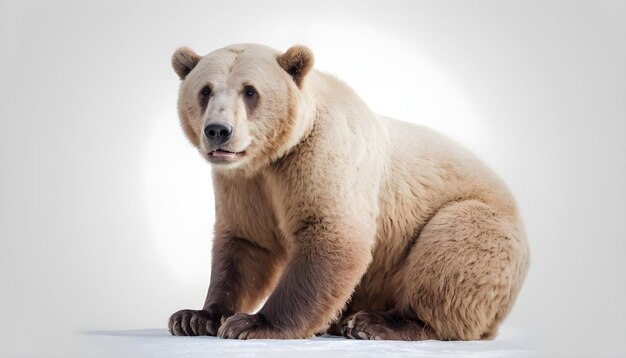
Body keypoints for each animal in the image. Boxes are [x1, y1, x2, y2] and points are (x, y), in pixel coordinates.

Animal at [165, 43, 528, 340]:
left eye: (250, 91)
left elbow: (333, 232)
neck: (275, 154)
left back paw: (377, 323)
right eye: (205, 90)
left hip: (483, 227)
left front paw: (253, 323)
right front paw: (195, 317)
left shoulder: (324, 153)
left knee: (454, 247)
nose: (218, 131)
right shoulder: (244, 182)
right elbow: (246, 242)